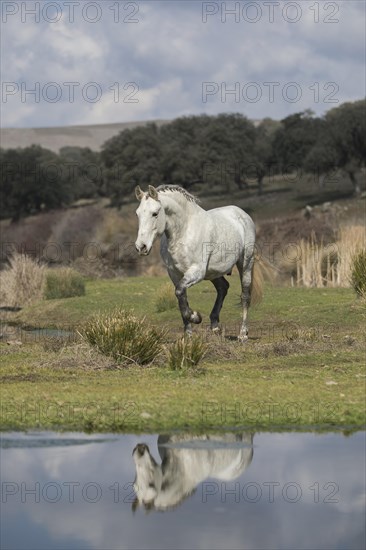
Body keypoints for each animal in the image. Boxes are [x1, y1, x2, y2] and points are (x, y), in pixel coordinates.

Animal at [134, 185, 260, 340]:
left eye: (155, 213)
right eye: (138, 214)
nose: (141, 247)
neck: (184, 231)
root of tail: (243, 214)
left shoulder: (196, 272)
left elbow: (180, 293)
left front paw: (196, 317)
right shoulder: (174, 274)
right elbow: (181, 296)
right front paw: (188, 334)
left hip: (245, 263)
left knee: (245, 296)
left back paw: (243, 334)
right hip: (213, 272)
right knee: (223, 287)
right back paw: (215, 326)